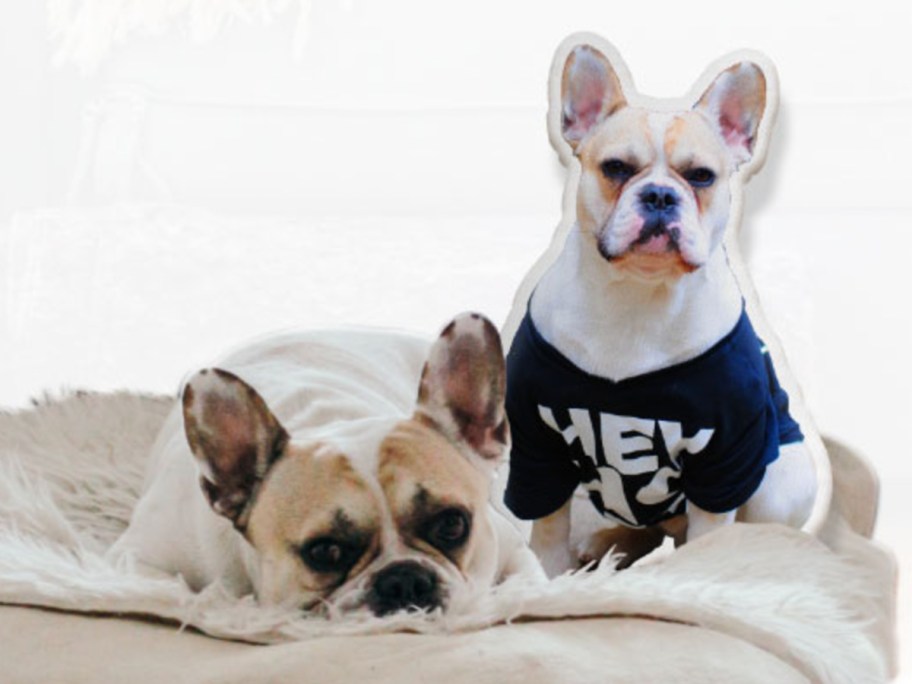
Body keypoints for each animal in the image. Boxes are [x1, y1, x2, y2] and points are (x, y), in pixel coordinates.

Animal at [110, 313, 542, 615]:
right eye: (325, 552)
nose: (404, 580)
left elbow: (521, 585)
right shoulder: (138, 561)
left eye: (452, 524)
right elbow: (183, 593)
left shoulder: (512, 550)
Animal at [502, 36, 820, 577]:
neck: (637, 293)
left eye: (702, 176)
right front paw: (547, 579)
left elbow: (709, 541)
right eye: (616, 168)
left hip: (778, 484)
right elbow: (547, 532)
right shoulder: (536, 446)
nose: (658, 195)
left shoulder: (725, 461)